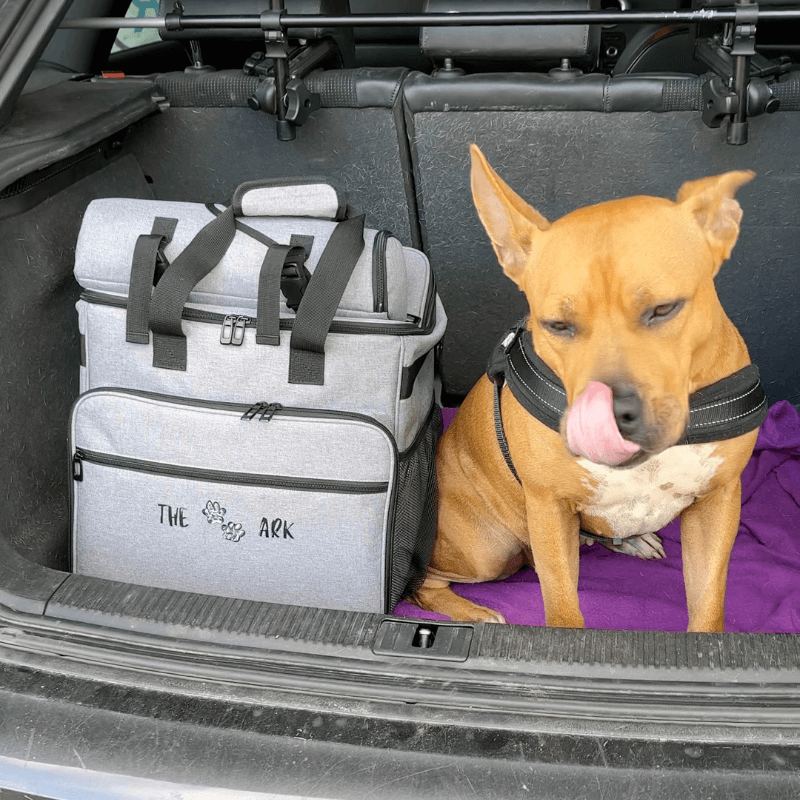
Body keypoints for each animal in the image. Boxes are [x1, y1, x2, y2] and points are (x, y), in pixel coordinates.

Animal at [412, 144, 764, 632]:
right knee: (422, 584)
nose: (613, 418)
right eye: (557, 325)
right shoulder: (548, 508)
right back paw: (475, 614)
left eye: (664, 309)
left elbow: (708, 609)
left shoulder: (718, 501)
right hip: (486, 550)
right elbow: (562, 608)